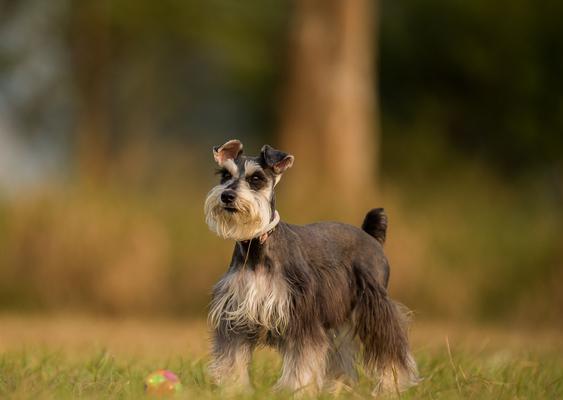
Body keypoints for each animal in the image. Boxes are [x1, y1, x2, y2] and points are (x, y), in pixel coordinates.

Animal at [205, 140, 416, 394]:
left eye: (256, 179)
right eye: (225, 175)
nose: (227, 195)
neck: (257, 246)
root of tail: (370, 236)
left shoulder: (302, 318)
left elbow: (301, 361)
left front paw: (296, 389)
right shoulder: (234, 318)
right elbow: (232, 359)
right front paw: (234, 389)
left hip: (375, 306)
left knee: (390, 348)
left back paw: (390, 386)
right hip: (340, 317)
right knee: (342, 352)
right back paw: (338, 388)